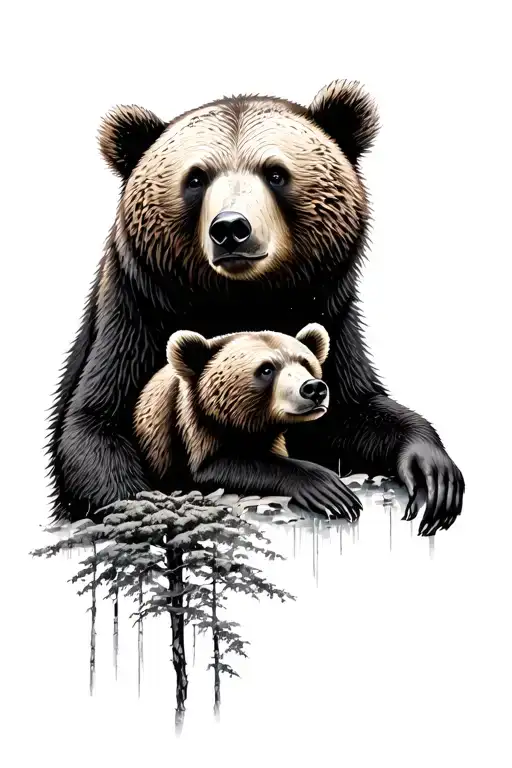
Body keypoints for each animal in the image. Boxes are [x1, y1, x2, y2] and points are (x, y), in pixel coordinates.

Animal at [133, 324, 361, 521]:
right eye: (266, 369)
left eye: (305, 363)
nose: (314, 388)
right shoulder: (190, 433)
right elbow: (211, 469)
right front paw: (329, 490)